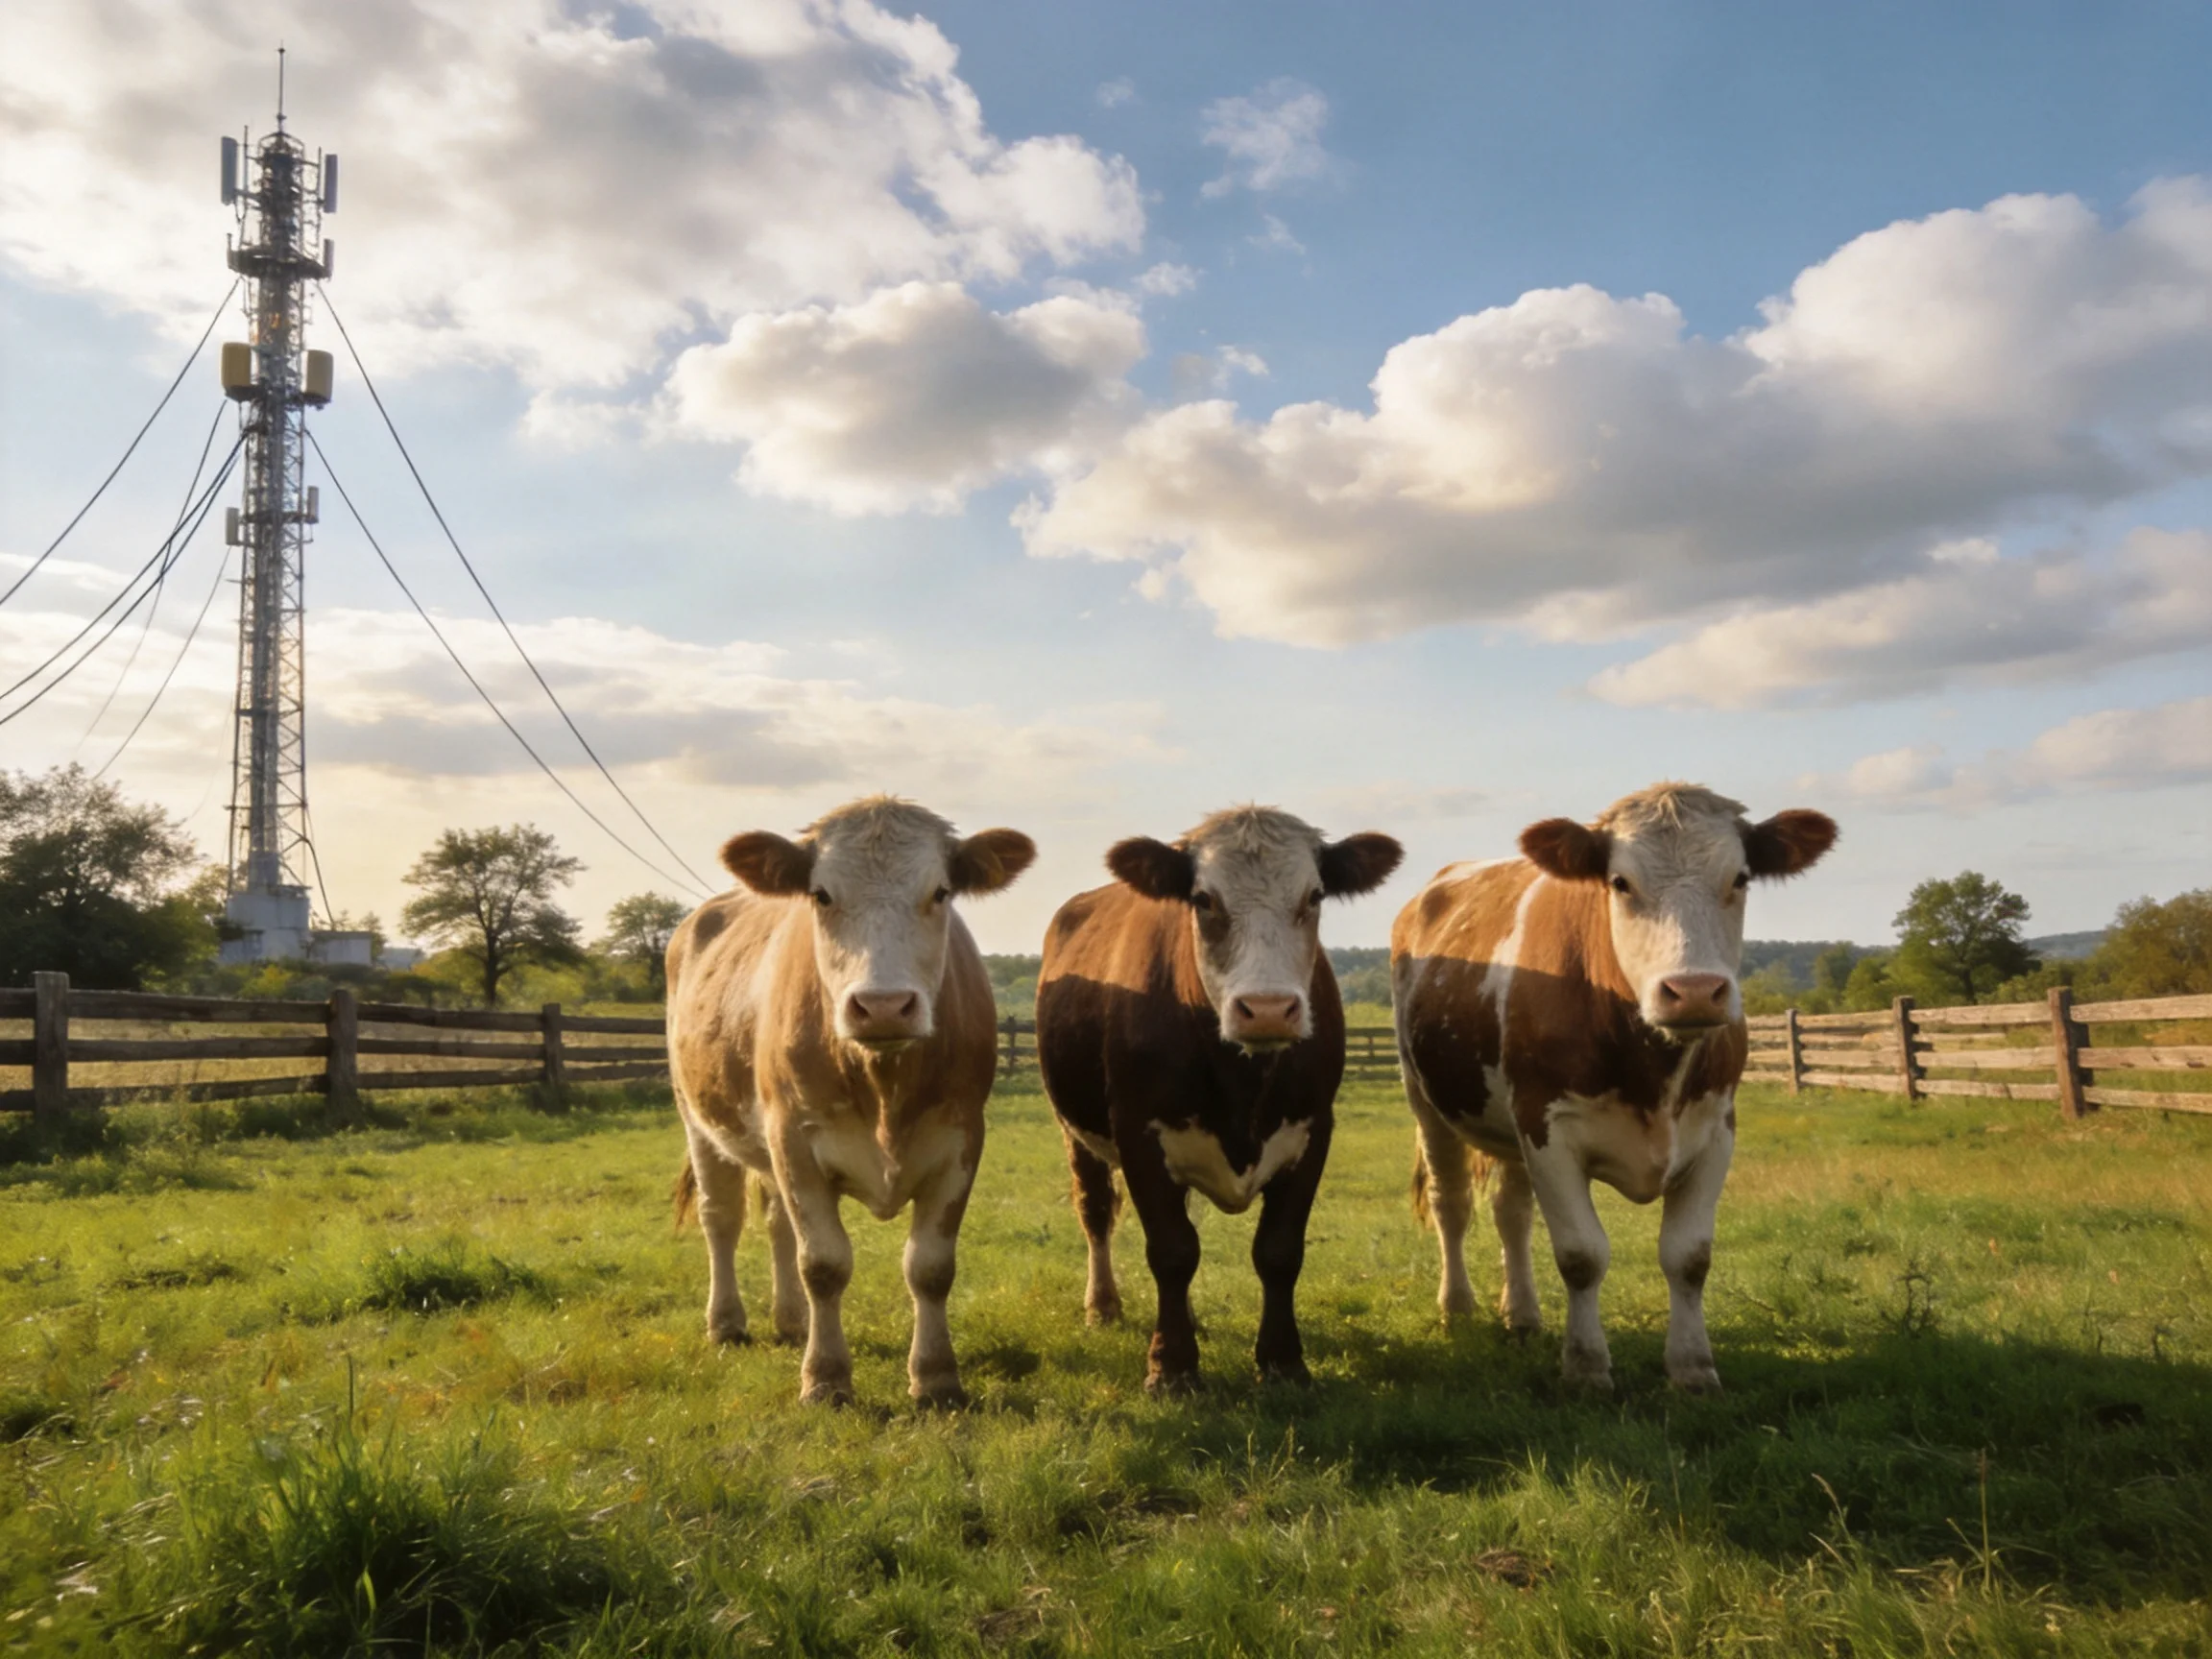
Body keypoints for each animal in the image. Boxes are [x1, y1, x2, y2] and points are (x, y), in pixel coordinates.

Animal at [667, 796, 1035, 1407]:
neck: (882, 1083)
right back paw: (727, 1323)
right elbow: (823, 1263)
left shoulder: (960, 1141)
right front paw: (826, 1379)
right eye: (821, 894)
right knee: (721, 1218)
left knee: (775, 1221)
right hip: (698, 1118)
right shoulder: (794, 1140)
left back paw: (791, 1321)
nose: (883, 1005)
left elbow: (930, 1267)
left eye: (941, 892)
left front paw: (936, 1377)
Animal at [1036, 807, 1403, 1393]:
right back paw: (1103, 1305)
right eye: (1203, 899)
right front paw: (1171, 1367)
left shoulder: (1312, 1131)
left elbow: (1278, 1251)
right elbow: (1171, 1250)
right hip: (1075, 1130)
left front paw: (1283, 1362)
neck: (1242, 1084)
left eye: (1315, 895)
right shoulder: (1139, 1133)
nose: (1268, 1008)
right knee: (1095, 1211)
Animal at [1392, 783, 1836, 1395]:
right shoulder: (1548, 1130)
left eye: (1741, 877)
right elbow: (1581, 1254)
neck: (1653, 1070)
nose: (1694, 991)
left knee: (1511, 1212)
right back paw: (1457, 1307)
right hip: (1426, 1100)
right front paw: (1585, 1367)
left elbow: (1689, 1257)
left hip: (1508, 1128)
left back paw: (1522, 1315)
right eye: (1620, 882)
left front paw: (1693, 1368)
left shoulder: (1716, 1131)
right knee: (1451, 1203)